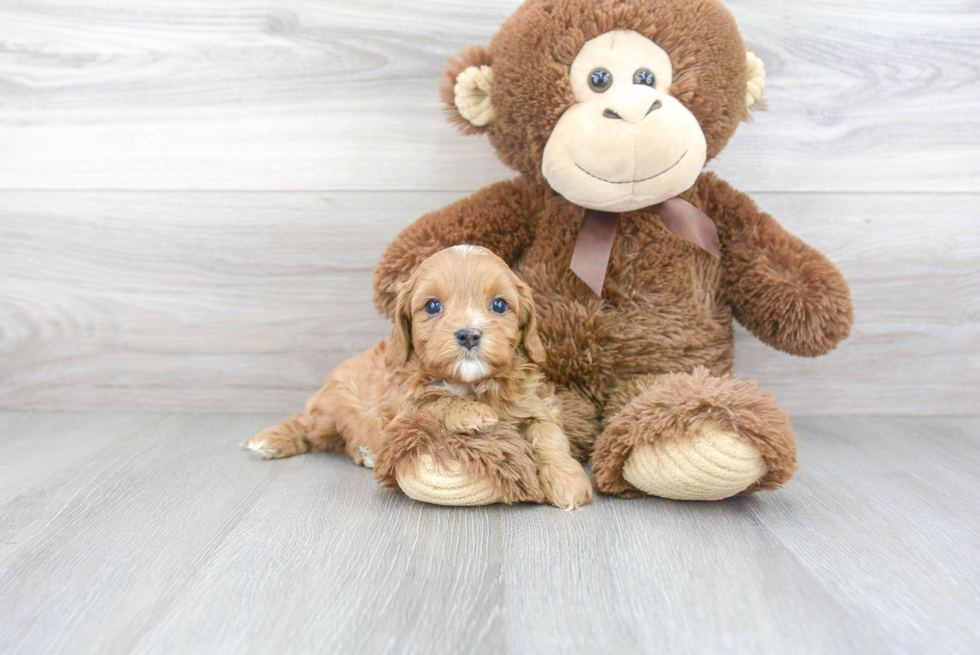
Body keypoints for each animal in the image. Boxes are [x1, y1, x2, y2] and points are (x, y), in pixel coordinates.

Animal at [245, 243, 592, 510]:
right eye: (433, 305)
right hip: (329, 409)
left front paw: (567, 480)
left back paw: (365, 453)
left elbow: (549, 437)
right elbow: (434, 399)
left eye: (499, 304)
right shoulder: (400, 407)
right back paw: (271, 440)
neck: (470, 383)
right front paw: (471, 413)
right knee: (307, 426)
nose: (468, 334)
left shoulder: (534, 406)